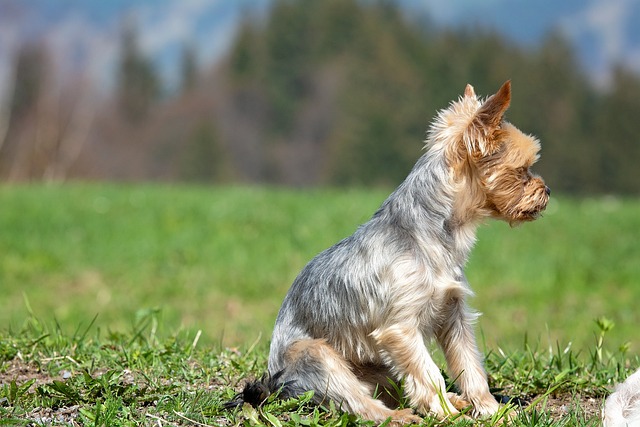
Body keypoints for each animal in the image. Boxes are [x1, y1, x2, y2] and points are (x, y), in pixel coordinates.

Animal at [229, 81, 552, 424]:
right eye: (522, 171)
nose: (547, 191)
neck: (433, 232)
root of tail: (274, 385)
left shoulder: (453, 314)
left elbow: (469, 365)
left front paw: (490, 410)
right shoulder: (401, 329)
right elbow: (428, 374)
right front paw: (447, 414)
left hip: (381, 367)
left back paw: (454, 401)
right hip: (316, 356)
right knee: (358, 403)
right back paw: (399, 416)